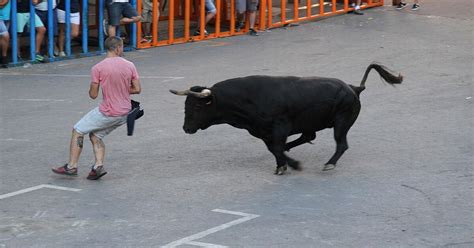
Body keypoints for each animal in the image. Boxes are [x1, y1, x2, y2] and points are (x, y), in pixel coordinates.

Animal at [170, 63, 404, 174]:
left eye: (196, 106)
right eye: (185, 105)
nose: (186, 128)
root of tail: (354, 88)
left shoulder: (280, 127)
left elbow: (276, 147)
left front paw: (292, 165)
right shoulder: (264, 132)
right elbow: (274, 149)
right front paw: (282, 165)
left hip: (341, 123)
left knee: (341, 144)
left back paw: (329, 164)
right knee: (308, 136)